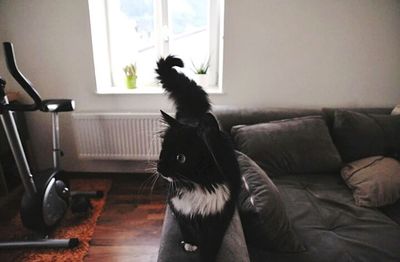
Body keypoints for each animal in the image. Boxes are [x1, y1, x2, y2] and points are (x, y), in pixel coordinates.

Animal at [155, 55, 239, 262]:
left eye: (180, 157)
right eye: (163, 150)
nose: (159, 168)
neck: (196, 184)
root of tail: (195, 115)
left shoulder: (220, 216)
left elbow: (212, 243)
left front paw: (206, 256)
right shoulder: (179, 208)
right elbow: (186, 227)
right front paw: (190, 244)